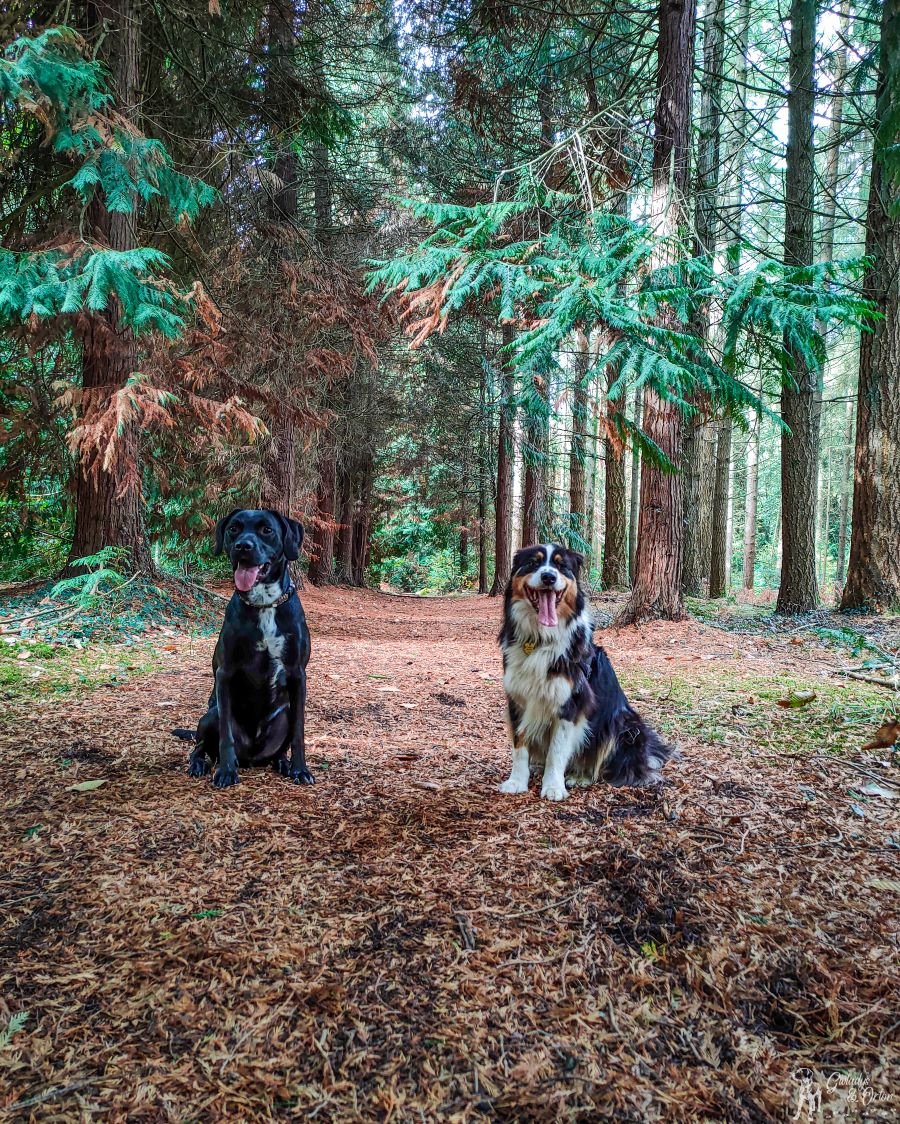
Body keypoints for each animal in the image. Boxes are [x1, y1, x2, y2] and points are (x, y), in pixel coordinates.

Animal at [174, 510, 314, 791]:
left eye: (267, 530)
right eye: (234, 529)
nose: (243, 547)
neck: (264, 604)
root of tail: (252, 757)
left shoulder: (297, 675)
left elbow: (298, 733)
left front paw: (300, 769)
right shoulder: (225, 674)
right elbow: (226, 736)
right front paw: (226, 772)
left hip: (284, 714)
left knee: (280, 748)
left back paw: (283, 763)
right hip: (211, 715)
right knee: (200, 746)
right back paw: (199, 764)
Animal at [498, 544, 665, 800]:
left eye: (561, 566)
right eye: (534, 563)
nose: (549, 577)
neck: (540, 639)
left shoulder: (570, 704)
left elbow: (556, 751)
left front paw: (553, 786)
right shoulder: (518, 700)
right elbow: (519, 744)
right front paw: (517, 781)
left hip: (622, 725)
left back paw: (581, 776)